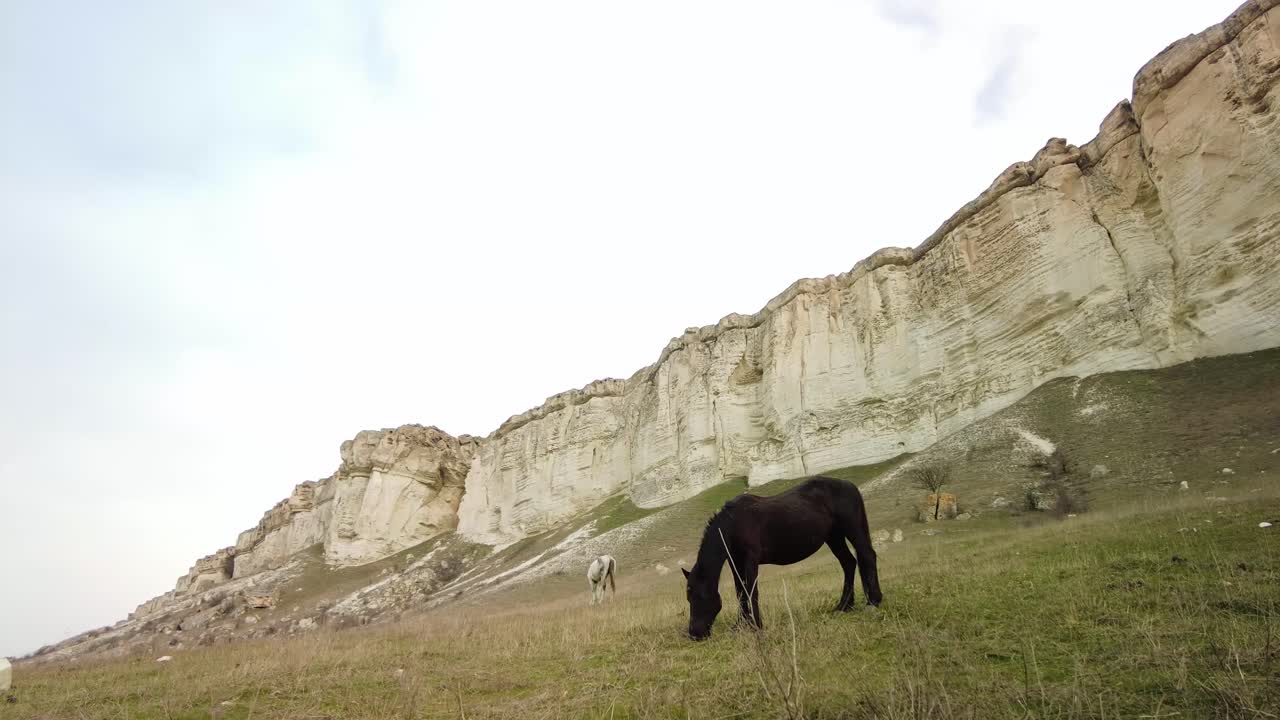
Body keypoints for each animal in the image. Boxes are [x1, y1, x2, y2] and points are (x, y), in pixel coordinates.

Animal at [681, 475, 882, 640]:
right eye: (689, 597)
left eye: (698, 595)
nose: (694, 634)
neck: (733, 523)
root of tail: (849, 485)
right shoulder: (735, 561)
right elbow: (740, 592)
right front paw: (740, 626)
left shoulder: (750, 559)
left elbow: (751, 591)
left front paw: (756, 626)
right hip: (834, 537)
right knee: (849, 563)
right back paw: (844, 606)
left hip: (852, 529)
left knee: (867, 556)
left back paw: (873, 602)